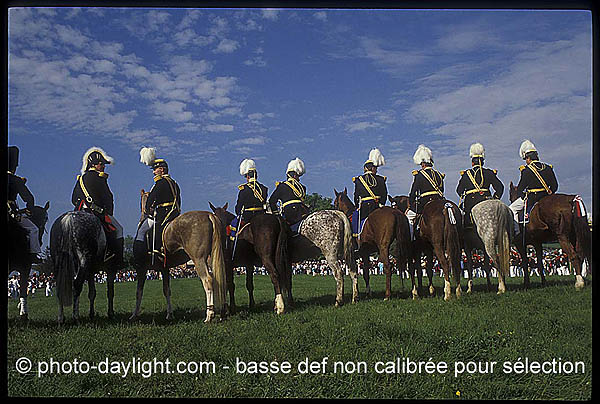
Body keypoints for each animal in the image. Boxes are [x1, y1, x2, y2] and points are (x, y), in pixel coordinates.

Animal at [131, 191, 227, 324]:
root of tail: (209, 215)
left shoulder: (141, 269)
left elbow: (138, 292)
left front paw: (134, 314)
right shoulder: (164, 269)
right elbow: (167, 290)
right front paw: (169, 314)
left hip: (199, 260)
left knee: (208, 280)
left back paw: (209, 315)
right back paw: (222, 313)